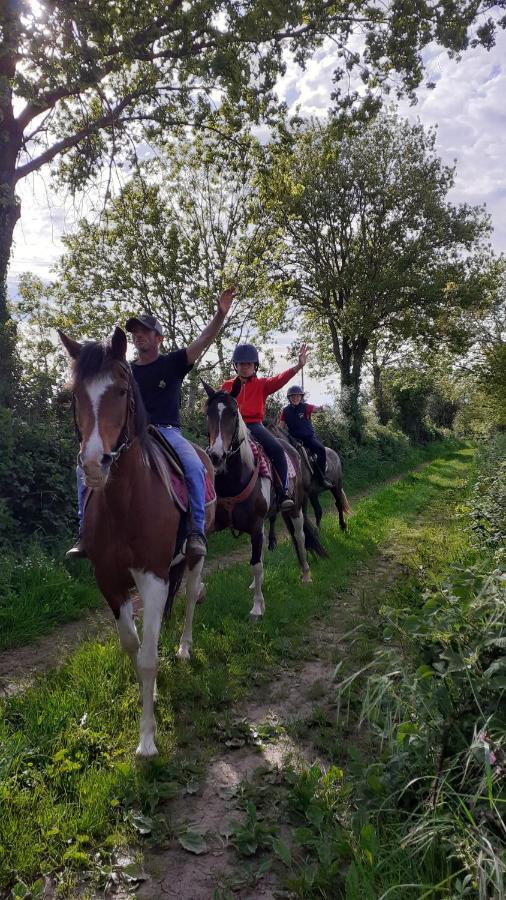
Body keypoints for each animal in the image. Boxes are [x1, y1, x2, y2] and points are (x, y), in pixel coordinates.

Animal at [59, 326, 213, 756]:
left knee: (191, 597)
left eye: (122, 390)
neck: (125, 501)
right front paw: (152, 695)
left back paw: (183, 647)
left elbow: (147, 657)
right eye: (74, 394)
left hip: (193, 559)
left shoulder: (152, 576)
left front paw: (147, 740)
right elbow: (133, 644)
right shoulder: (109, 580)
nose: (94, 464)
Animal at [204, 380, 326, 620]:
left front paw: (257, 607)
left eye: (233, 413)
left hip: (295, 509)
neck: (236, 477)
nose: (216, 456)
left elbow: (256, 564)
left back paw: (306, 574)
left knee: (299, 537)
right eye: (208, 413)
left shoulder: (255, 524)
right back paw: (255, 584)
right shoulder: (215, 526)